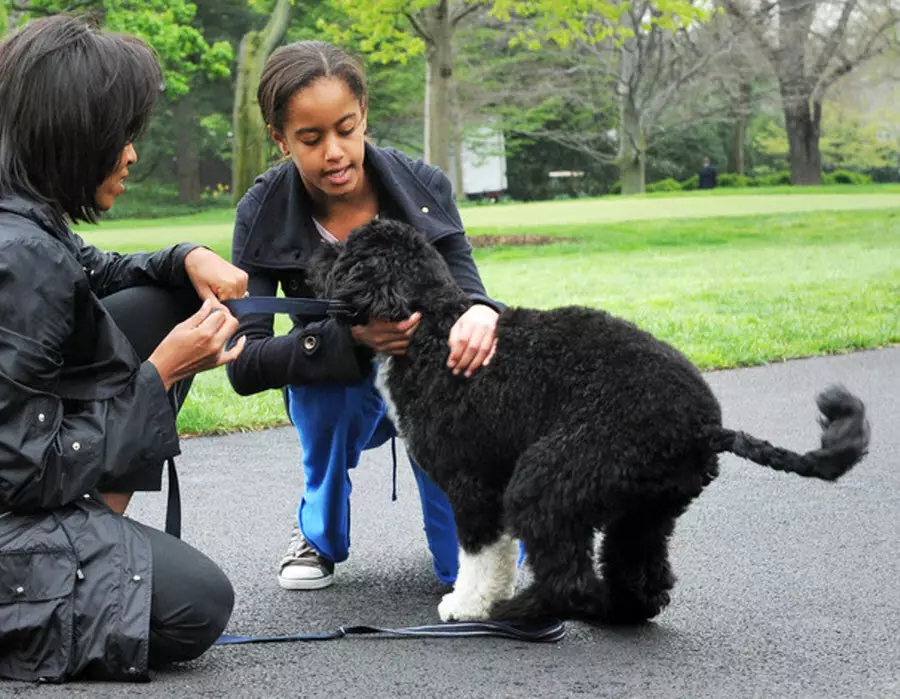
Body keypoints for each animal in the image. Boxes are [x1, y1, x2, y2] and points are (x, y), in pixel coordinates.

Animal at [308, 219, 864, 624]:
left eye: (348, 252)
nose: (314, 253)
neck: (431, 322)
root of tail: (705, 427)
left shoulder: (473, 484)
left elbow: (480, 553)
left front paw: (467, 605)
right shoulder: (492, 481)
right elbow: (501, 554)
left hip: (550, 479)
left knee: (569, 578)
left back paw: (523, 611)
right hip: (646, 507)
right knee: (643, 574)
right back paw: (616, 611)